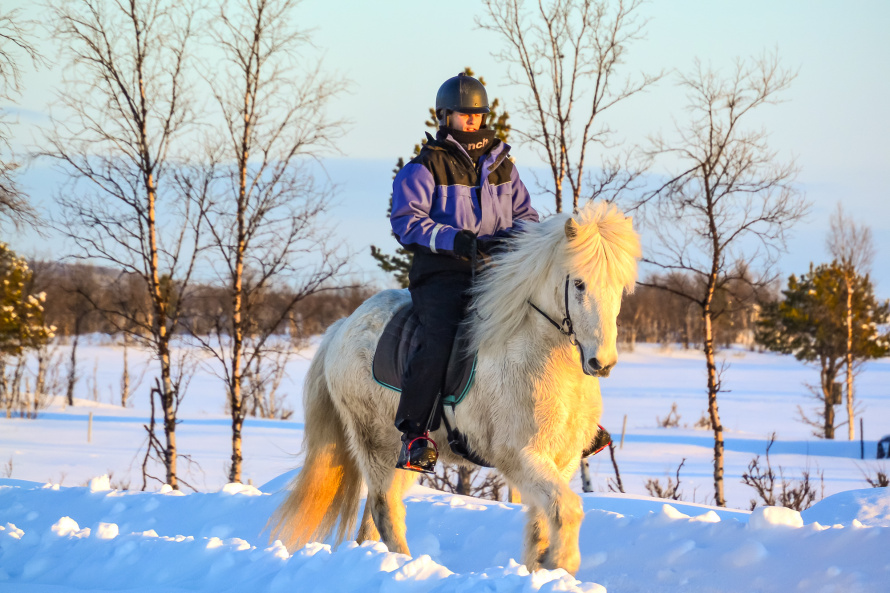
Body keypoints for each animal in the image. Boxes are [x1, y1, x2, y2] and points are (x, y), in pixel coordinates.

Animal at [269, 201, 640, 575]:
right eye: (579, 284)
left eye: (621, 287)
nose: (601, 362)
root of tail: (343, 325)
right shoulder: (520, 456)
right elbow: (567, 510)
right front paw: (561, 565)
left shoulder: (562, 459)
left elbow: (541, 526)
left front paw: (542, 570)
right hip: (377, 445)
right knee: (384, 509)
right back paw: (407, 565)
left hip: (400, 459)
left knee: (373, 520)